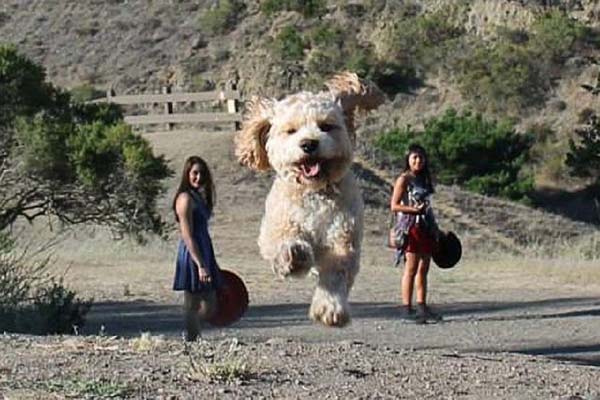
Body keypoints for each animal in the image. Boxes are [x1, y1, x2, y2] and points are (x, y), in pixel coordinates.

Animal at [236, 72, 384, 324]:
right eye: (291, 130)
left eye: (326, 126)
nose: (308, 144)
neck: (314, 191)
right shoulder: (276, 226)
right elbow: (283, 241)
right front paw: (293, 256)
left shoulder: (342, 235)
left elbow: (336, 273)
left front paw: (330, 308)